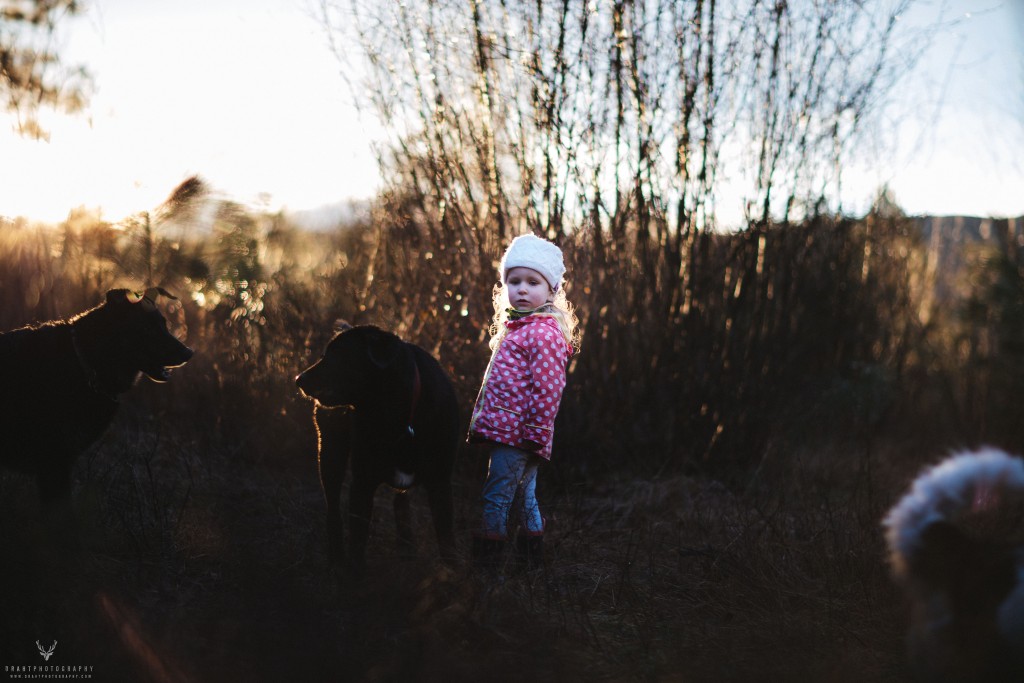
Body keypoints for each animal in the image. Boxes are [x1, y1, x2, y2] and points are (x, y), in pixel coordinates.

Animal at [296, 325, 456, 573]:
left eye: (336, 355)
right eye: (325, 354)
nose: (298, 379)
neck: (396, 416)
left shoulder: (440, 482)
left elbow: (446, 538)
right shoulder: (362, 482)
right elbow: (358, 538)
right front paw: (353, 573)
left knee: (400, 503)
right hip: (330, 452)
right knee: (333, 510)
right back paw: (337, 559)